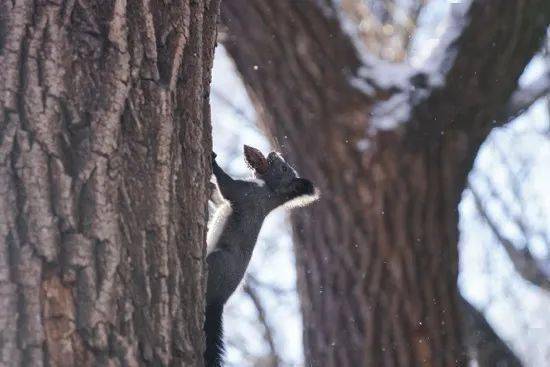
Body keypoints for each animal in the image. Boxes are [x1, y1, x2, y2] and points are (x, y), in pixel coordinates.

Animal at [205, 145, 322, 366]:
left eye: (284, 168)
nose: (275, 153)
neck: (270, 192)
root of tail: (219, 300)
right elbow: (218, 199)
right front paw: (208, 187)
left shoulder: (247, 194)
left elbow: (227, 187)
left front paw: (213, 160)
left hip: (219, 260)